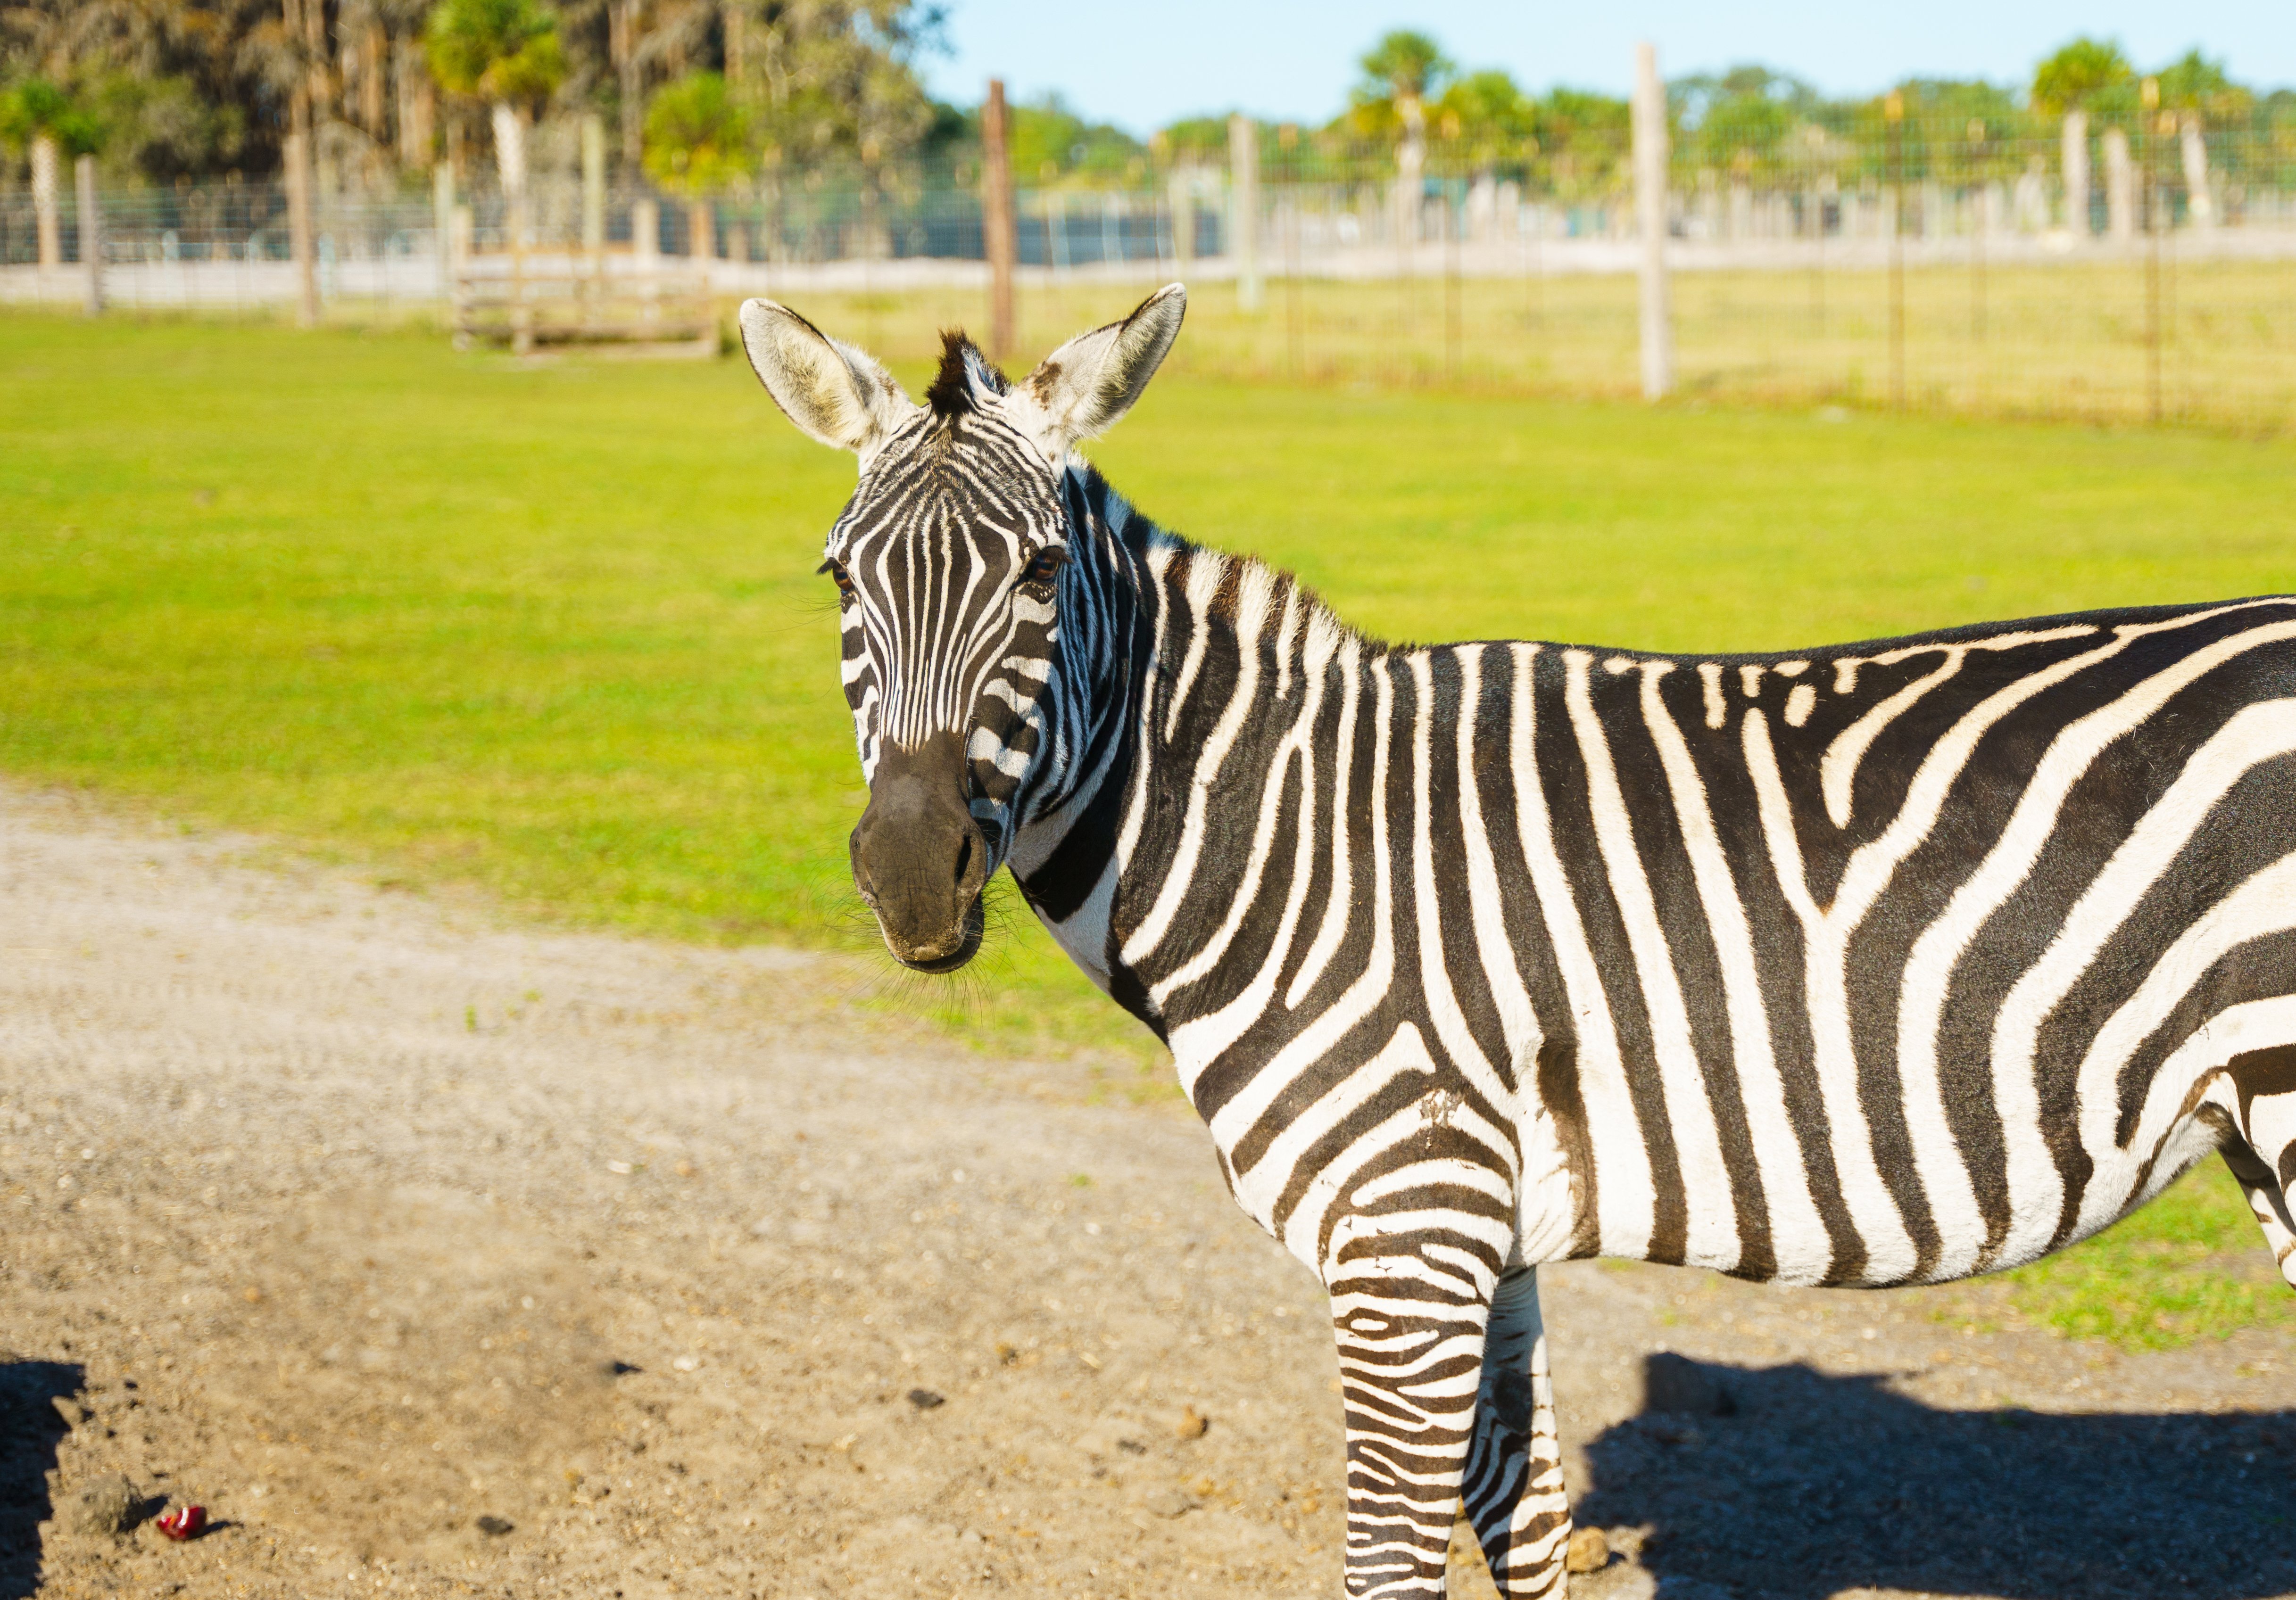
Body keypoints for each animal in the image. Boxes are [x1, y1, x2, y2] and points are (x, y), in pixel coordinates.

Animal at [736, 283, 2296, 1598]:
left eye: (1043, 575)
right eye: (835, 581)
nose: (909, 879)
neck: (1289, 840)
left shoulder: (1404, 1230)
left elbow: (1391, 1555)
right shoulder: (1487, 1237)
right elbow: (1520, 1523)